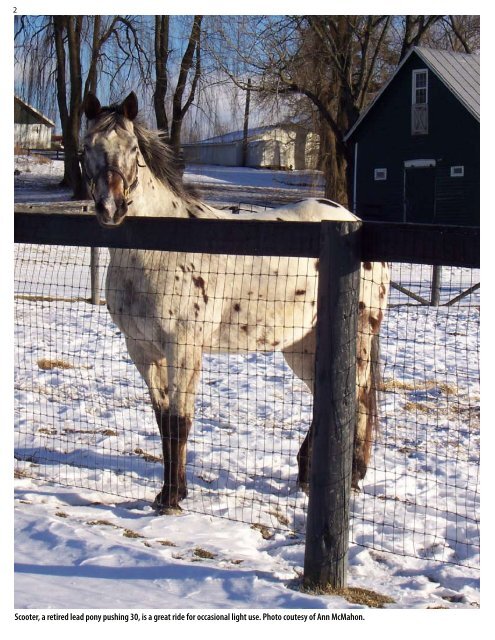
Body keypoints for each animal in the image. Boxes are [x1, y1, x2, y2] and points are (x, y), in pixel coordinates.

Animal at [82, 91, 392, 510]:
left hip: (355, 339)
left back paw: (353, 476)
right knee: (327, 400)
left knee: (357, 398)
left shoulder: (183, 348)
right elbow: (163, 420)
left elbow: (180, 421)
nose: (111, 208)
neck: (160, 248)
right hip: (302, 344)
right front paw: (167, 493)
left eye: (133, 149)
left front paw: (173, 498)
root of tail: (354, 224)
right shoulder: (142, 350)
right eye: (87, 147)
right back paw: (307, 475)